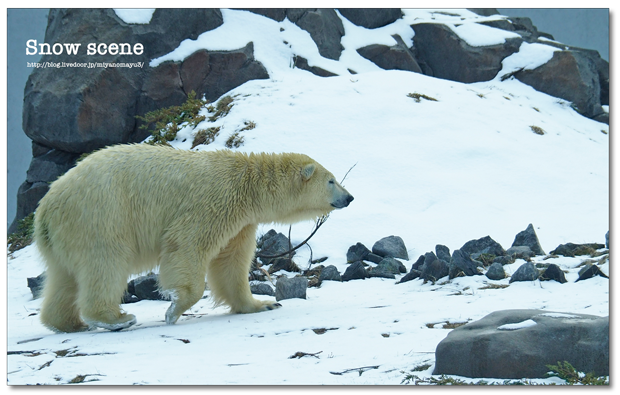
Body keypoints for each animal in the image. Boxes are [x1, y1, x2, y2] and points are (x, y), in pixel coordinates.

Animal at [35, 144, 354, 332]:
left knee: (64, 277)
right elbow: (187, 245)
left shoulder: (241, 222)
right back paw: (114, 318)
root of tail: (46, 207)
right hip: (101, 214)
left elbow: (230, 263)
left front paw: (262, 304)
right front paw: (174, 309)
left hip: (68, 234)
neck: (247, 185)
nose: (349, 197)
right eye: (331, 180)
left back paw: (68, 323)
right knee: (106, 263)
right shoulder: (213, 202)